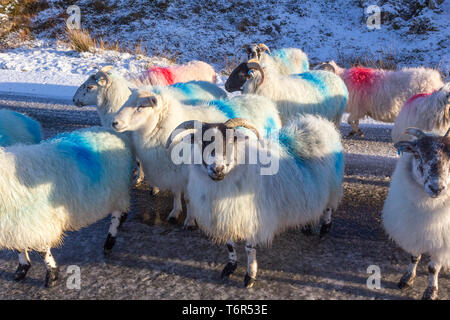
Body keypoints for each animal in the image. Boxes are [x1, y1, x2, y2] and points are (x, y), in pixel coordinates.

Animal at [0, 127, 134, 288]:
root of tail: (112, 131)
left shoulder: (36, 220)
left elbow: (42, 251)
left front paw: (52, 277)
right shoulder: (15, 223)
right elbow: (19, 247)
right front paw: (22, 270)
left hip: (117, 191)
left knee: (116, 216)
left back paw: (109, 242)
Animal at [111, 89, 282, 230]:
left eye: (141, 106)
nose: (114, 123)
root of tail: (260, 99)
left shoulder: (189, 174)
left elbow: (188, 198)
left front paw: (190, 220)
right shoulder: (176, 172)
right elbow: (176, 192)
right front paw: (175, 212)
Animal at [167, 114, 342, 288]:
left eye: (231, 141)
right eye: (202, 142)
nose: (217, 169)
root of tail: (317, 121)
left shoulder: (251, 217)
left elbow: (249, 248)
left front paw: (250, 276)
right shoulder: (227, 215)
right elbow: (230, 245)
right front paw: (230, 267)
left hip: (332, 184)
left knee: (328, 206)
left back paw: (325, 228)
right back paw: (307, 225)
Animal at [384, 127, 450, 300]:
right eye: (417, 154)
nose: (436, 188)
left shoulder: (441, 242)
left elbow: (433, 268)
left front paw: (430, 291)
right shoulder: (413, 231)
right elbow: (414, 257)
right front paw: (407, 278)